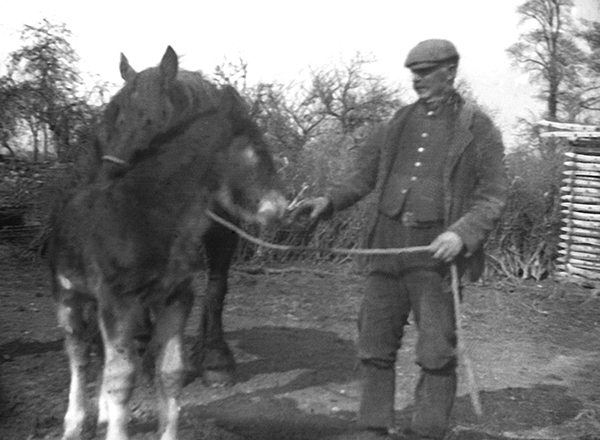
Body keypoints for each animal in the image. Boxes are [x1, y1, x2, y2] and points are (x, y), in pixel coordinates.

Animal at [48, 45, 288, 440]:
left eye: (151, 120)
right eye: (256, 151)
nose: (281, 207)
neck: (150, 213)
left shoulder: (177, 296)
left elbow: (170, 372)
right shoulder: (117, 301)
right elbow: (121, 377)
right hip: (69, 295)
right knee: (79, 356)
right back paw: (74, 422)